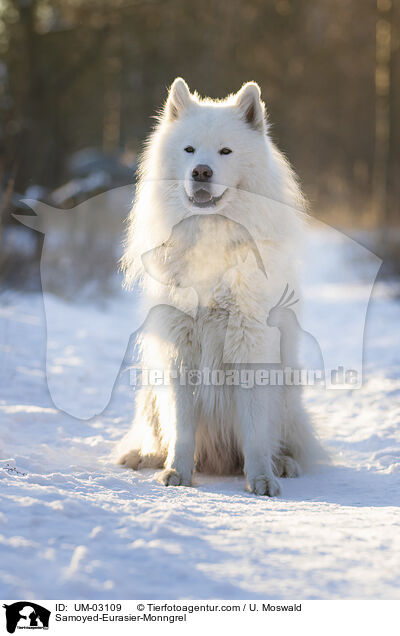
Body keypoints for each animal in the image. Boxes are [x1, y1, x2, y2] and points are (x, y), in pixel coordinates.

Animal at [118, 79, 322, 494]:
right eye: (189, 150)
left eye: (226, 151)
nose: (201, 171)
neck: (210, 236)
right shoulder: (179, 348)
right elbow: (181, 425)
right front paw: (177, 472)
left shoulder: (250, 343)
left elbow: (256, 430)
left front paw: (261, 479)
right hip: (149, 387)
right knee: (154, 433)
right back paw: (144, 456)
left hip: (288, 391)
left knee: (283, 439)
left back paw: (283, 464)